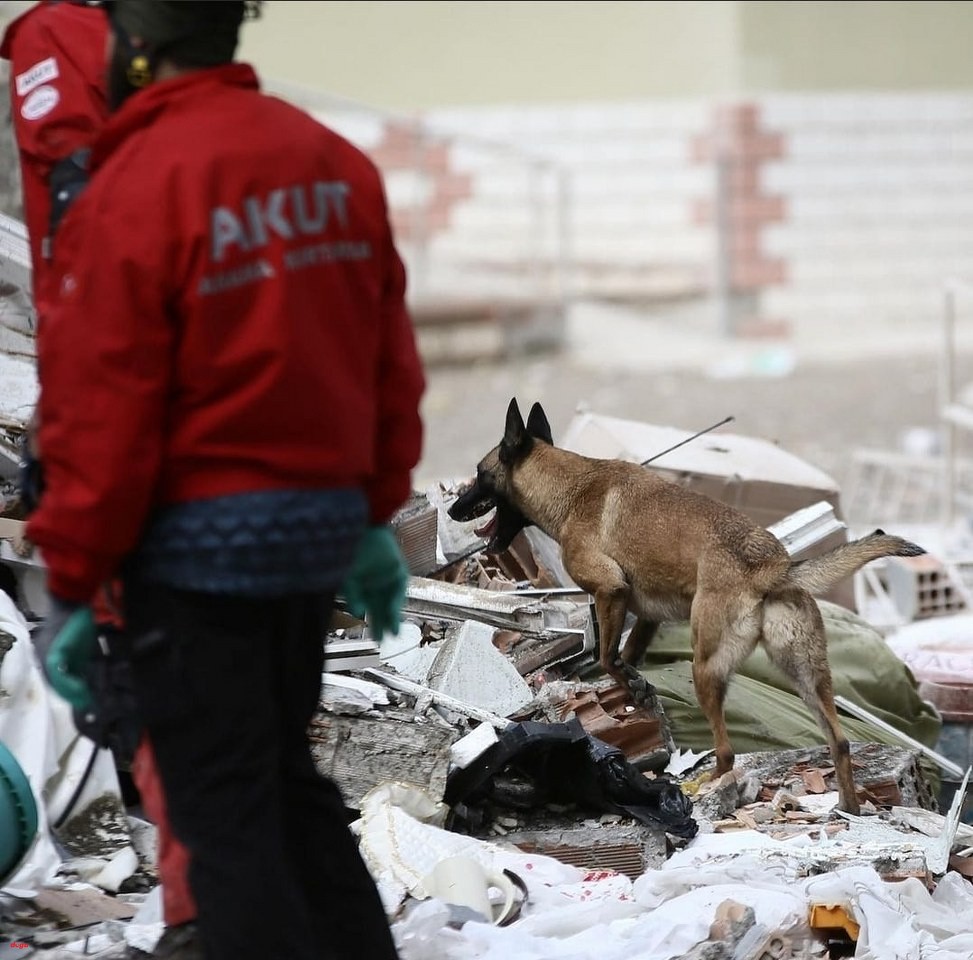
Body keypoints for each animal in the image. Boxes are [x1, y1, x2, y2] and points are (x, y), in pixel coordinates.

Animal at [448, 394, 928, 812]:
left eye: (479, 473)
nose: (452, 510)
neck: (571, 486)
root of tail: (772, 566)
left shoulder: (610, 590)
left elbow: (605, 657)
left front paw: (633, 686)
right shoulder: (643, 615)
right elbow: (623, 658)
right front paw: (637, 693)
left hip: (707, 668)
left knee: (727, 752)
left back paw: (706, 792)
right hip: (807, 676)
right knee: (839, 740)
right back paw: (847, 809)